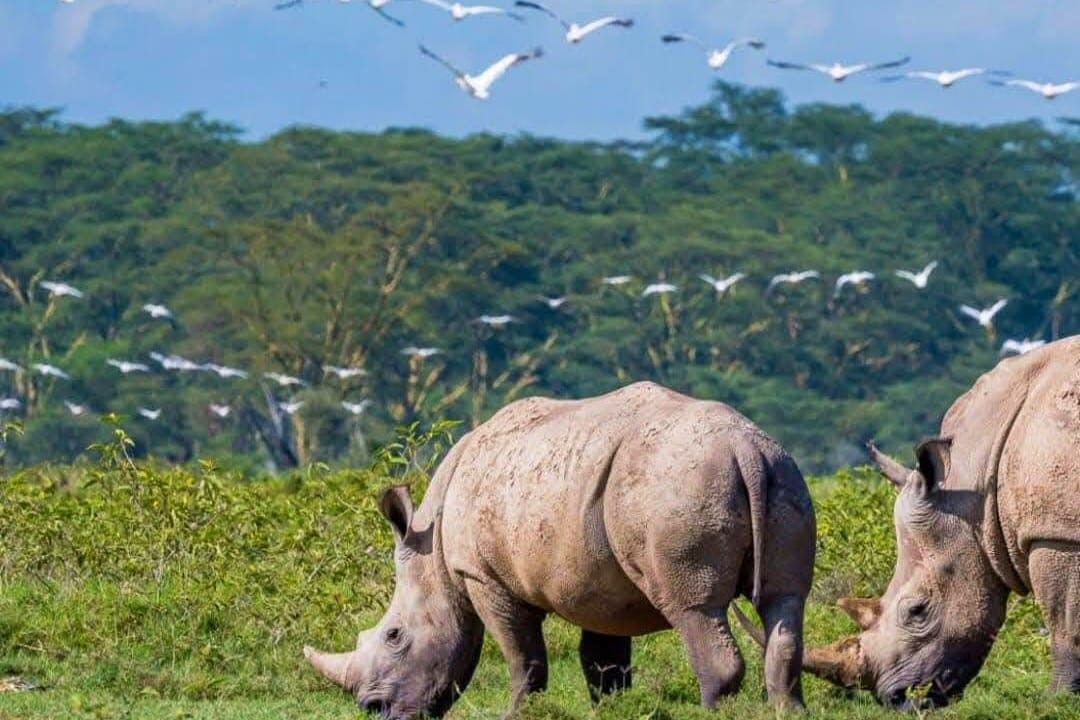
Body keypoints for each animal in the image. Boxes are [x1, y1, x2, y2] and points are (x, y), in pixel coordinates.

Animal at [304, 382, 816, 718]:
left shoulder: (482, 575)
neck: (436, 558)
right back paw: (787, 711)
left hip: (676, 488)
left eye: (394, 636)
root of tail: (742, 447)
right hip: (781, 473)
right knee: (784, 602)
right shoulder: (600, 582)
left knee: (692, 608)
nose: (373, 708)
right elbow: (603, 660)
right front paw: (612, 710)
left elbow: (522, 654)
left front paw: (516, 713)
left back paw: (715, 711)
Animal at [740, 336, 1080, 708]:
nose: (896, 698)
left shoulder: (1057, 534)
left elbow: (1065, 624)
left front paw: (1057, 700)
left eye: (917, 611)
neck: (976, 493)